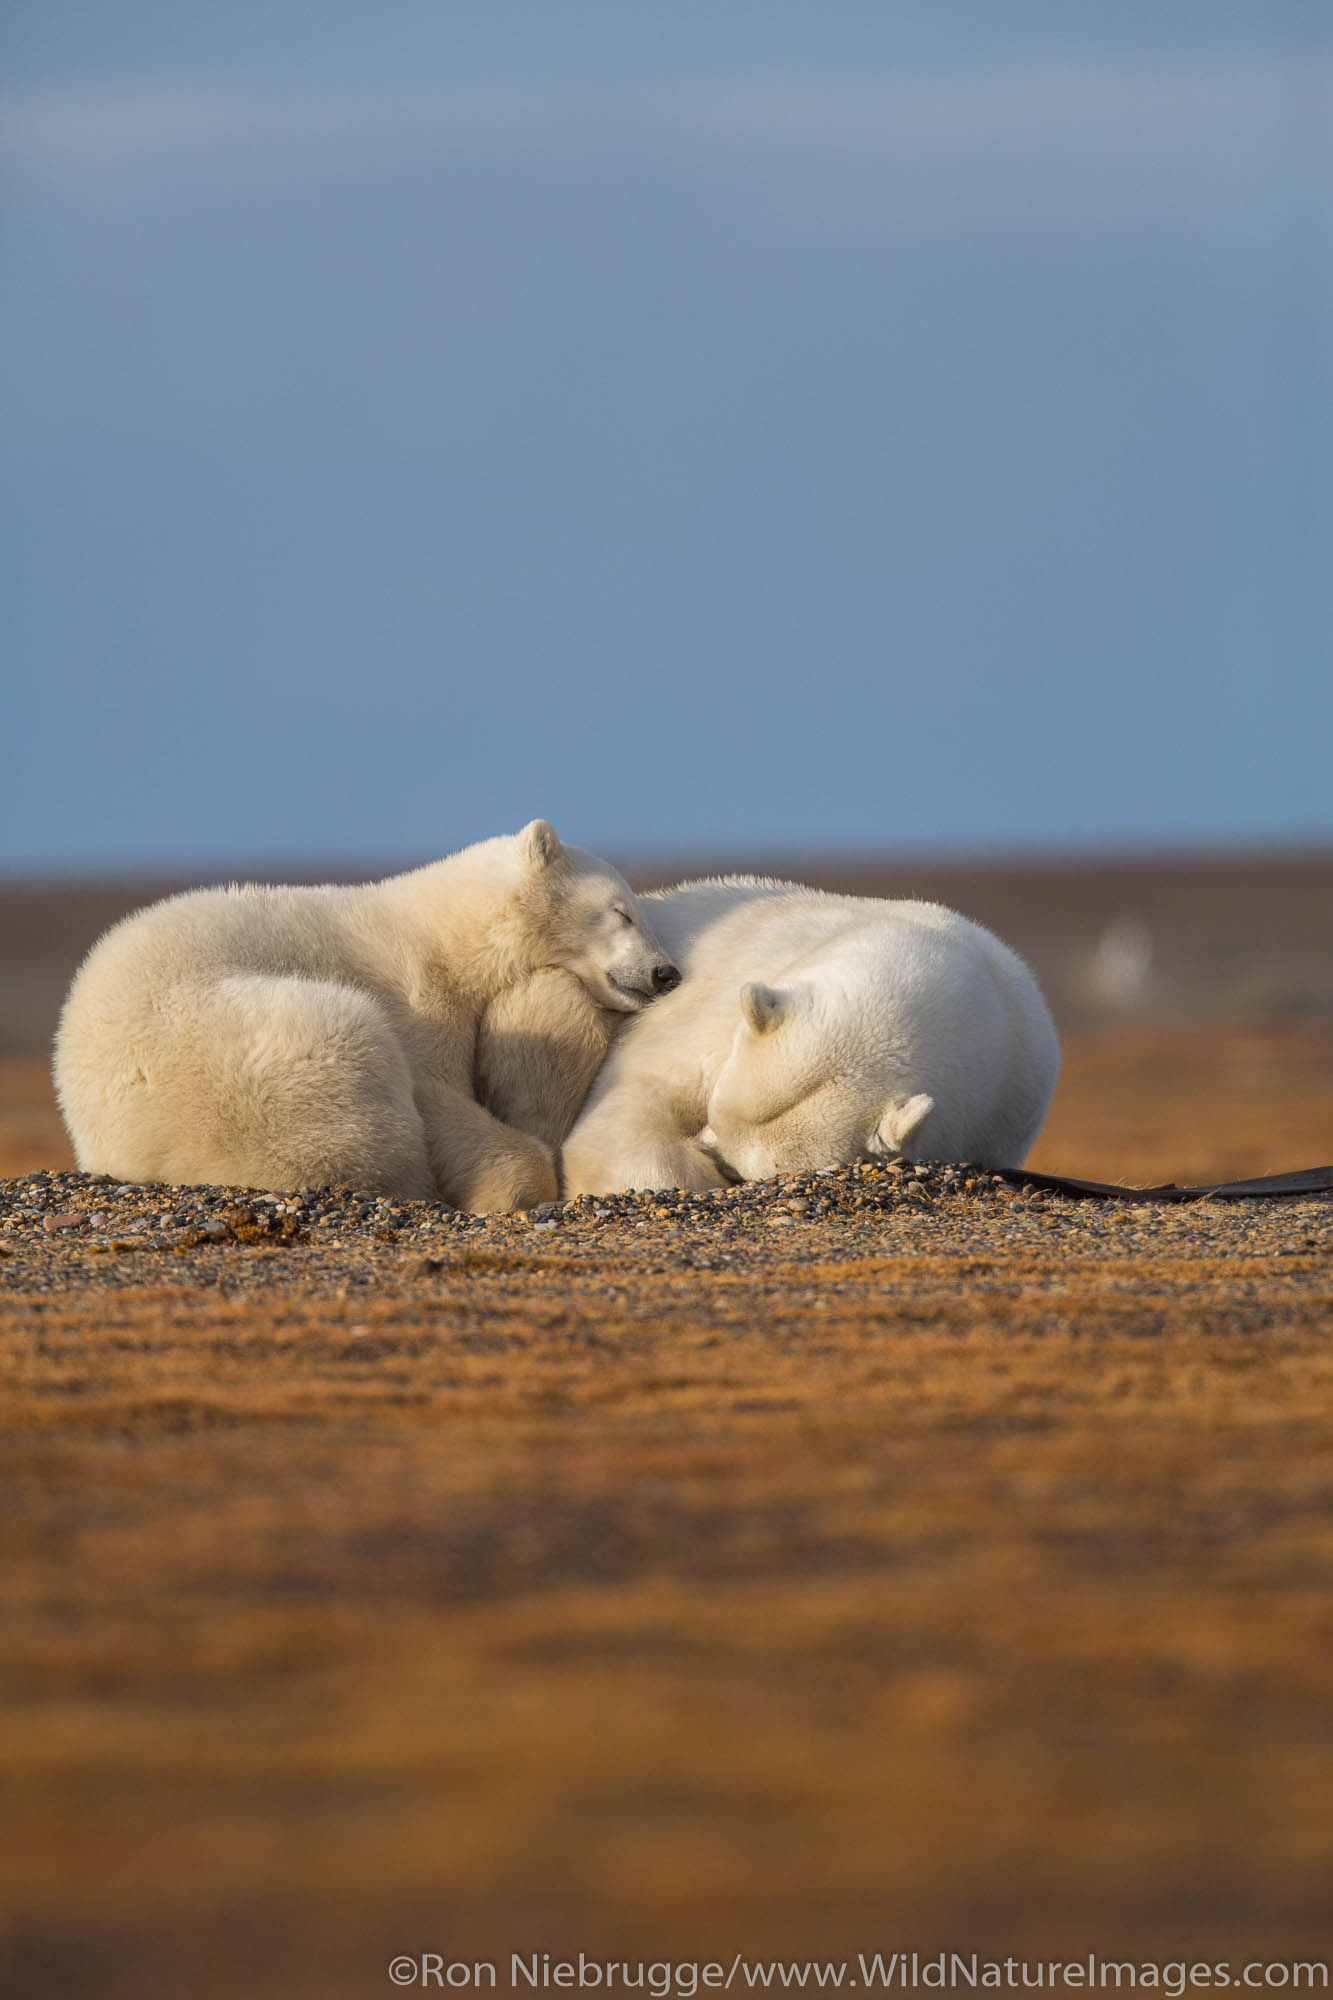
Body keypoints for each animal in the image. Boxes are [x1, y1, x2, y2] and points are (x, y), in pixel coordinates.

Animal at [53, 820, 680, 1208]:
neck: (450, 937)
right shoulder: (416, 997)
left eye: (638, 912)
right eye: (621, 912)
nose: (666, 973)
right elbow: (435, 1095)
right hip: (263, 1054)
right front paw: (510, 1188)